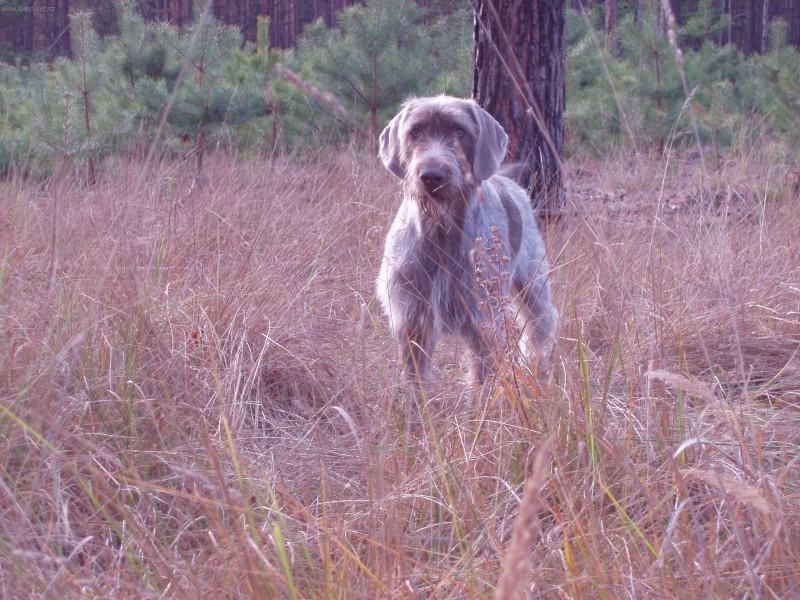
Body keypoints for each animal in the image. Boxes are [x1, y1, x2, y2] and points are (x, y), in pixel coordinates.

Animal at [376, 95, 556, 394]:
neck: (441, 232)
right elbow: (416, 380)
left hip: (533, 285)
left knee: (540, 325)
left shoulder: (482, 321)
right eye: (415, 131)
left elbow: (483, 379)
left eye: (459, 131)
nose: (432, 176)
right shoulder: (412, 318)